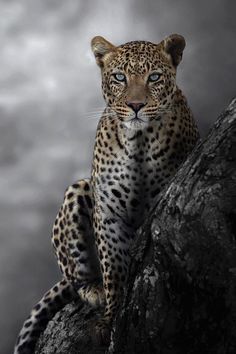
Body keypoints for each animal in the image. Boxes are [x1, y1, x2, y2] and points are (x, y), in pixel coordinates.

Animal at [14, 34, 199, 354]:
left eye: (154, 77)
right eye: (119, 77)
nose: (135, 105)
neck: (139, 142)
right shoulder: (108, 213)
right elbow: (114, 270)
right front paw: (109, 320)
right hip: (78, 190)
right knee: (76, 277)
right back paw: (93, 289)